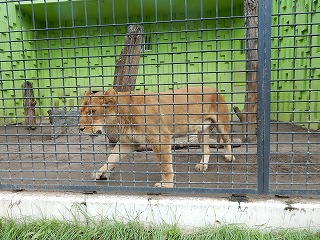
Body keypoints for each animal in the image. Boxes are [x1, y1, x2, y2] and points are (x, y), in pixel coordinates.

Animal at [79, 86, 235, 188]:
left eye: (92, 112)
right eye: (80, 111)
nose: (80, 128)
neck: (121, 116)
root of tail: (214, 88)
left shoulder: (160, 138)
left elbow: (165, 164)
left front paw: (166, 184)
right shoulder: (128, 142)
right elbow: (111, 158)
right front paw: (100, 173)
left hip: (222, 123)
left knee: (227, 140)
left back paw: (229, 156)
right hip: (201, 130)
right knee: (207, 149)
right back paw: (202, 165)